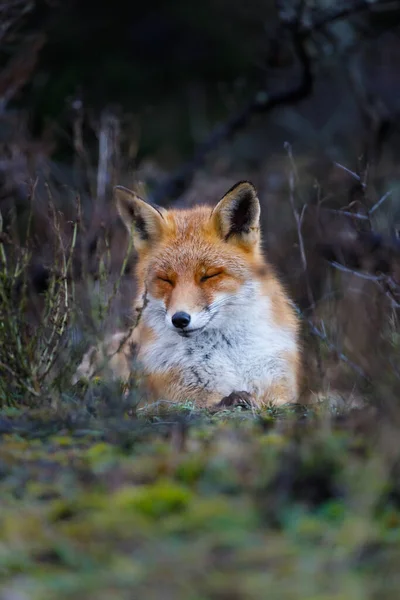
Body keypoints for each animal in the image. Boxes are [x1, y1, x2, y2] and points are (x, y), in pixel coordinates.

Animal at [74, 182, 300, 408]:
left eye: (208, 276)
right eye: (165, 279)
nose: (180, 319)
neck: (228, 355)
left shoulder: (278, 387)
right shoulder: (178, 396)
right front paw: (235, 399)